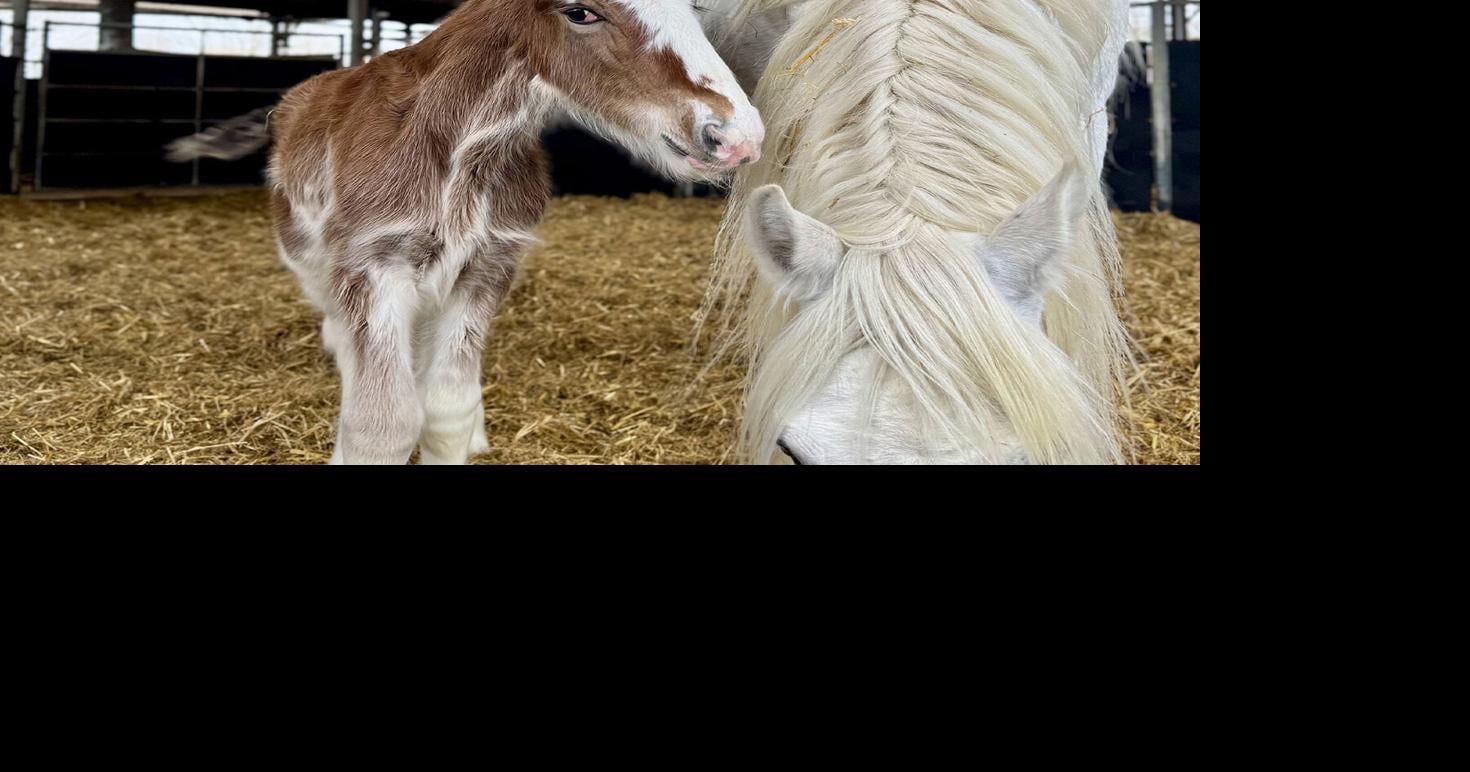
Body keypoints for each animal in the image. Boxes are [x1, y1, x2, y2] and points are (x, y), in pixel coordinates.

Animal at [167, 1, 764, 464]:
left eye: (694, 9)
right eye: (580, 12)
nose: (737, 136)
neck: (456, 151)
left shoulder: (486, 267)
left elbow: (446, 410)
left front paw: (466, 428)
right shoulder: (374, 266)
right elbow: (381, 423)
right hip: (316, 265)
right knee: (345, 341)